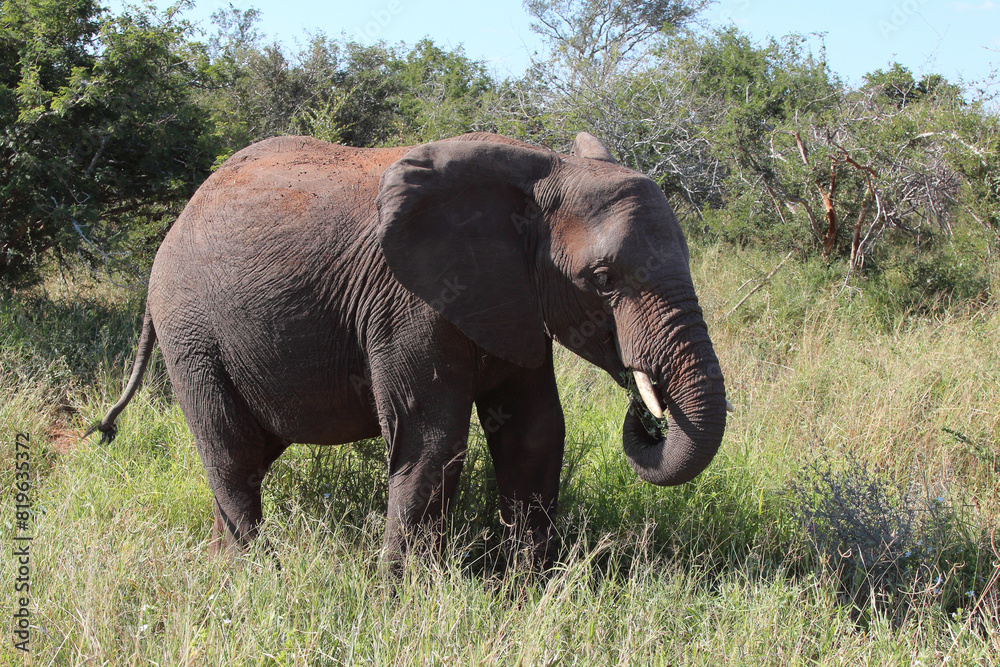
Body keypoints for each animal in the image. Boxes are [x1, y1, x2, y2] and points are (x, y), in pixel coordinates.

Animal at [93, 131, 729, 569]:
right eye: (602, 279)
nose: (646, 415)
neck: (542, 168)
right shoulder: (411, 303)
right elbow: (432, 442)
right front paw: (402, 598)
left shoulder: (513, 300)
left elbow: (535, 433)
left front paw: (530, 589)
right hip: (191, 334)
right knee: (232, 456)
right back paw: (255, 576)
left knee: (249, 455)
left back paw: (223, 565)